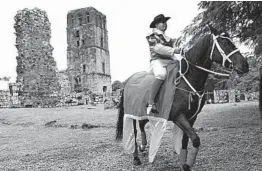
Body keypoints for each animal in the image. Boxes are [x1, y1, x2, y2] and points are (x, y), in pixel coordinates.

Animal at [115, 25, 249, 171]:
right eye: (224, 42)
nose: (245, 65)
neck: (187, 79)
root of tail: (128, 81)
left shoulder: (191, 117)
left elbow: (185, 141)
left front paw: (185, 165)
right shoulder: (178, 116)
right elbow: (195, 139)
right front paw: (187, 164)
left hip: (142, 112)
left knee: (141, 125)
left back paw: (143, 146)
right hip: (131, 113)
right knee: (133, 131)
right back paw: (136, 157)